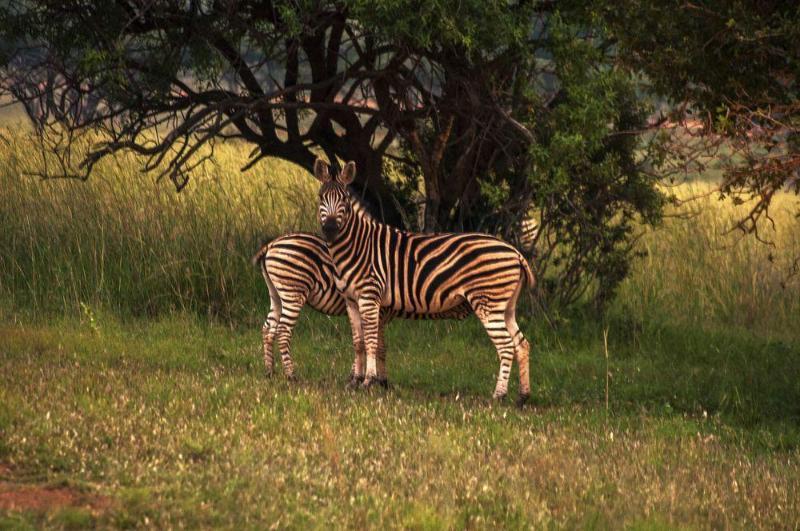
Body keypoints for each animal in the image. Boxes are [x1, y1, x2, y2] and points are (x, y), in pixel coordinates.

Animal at [253, 233, 472, 382]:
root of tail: (271, 245)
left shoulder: (379, 315)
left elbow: (378, 346)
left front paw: (376, 379)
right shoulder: (377, 311)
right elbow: (371, 343)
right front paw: (363, 377)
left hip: (276, 294)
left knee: (268, 329)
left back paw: (269, 371)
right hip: (293, 292)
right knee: (283, 331)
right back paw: (291, 375)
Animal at [314, 160, 536, 406]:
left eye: (343, 199)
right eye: (321, 197)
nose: (330, 230)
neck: (357, 246)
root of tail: (515, 252)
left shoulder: (369, 297)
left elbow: (371, 340)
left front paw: (368, 381)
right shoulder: (351, 300)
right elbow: (358, 342)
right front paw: (355, 381)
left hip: (489, 303)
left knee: (506, 347)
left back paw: (498, 395)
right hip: (506, 307)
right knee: (521, 344)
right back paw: (523, 397)